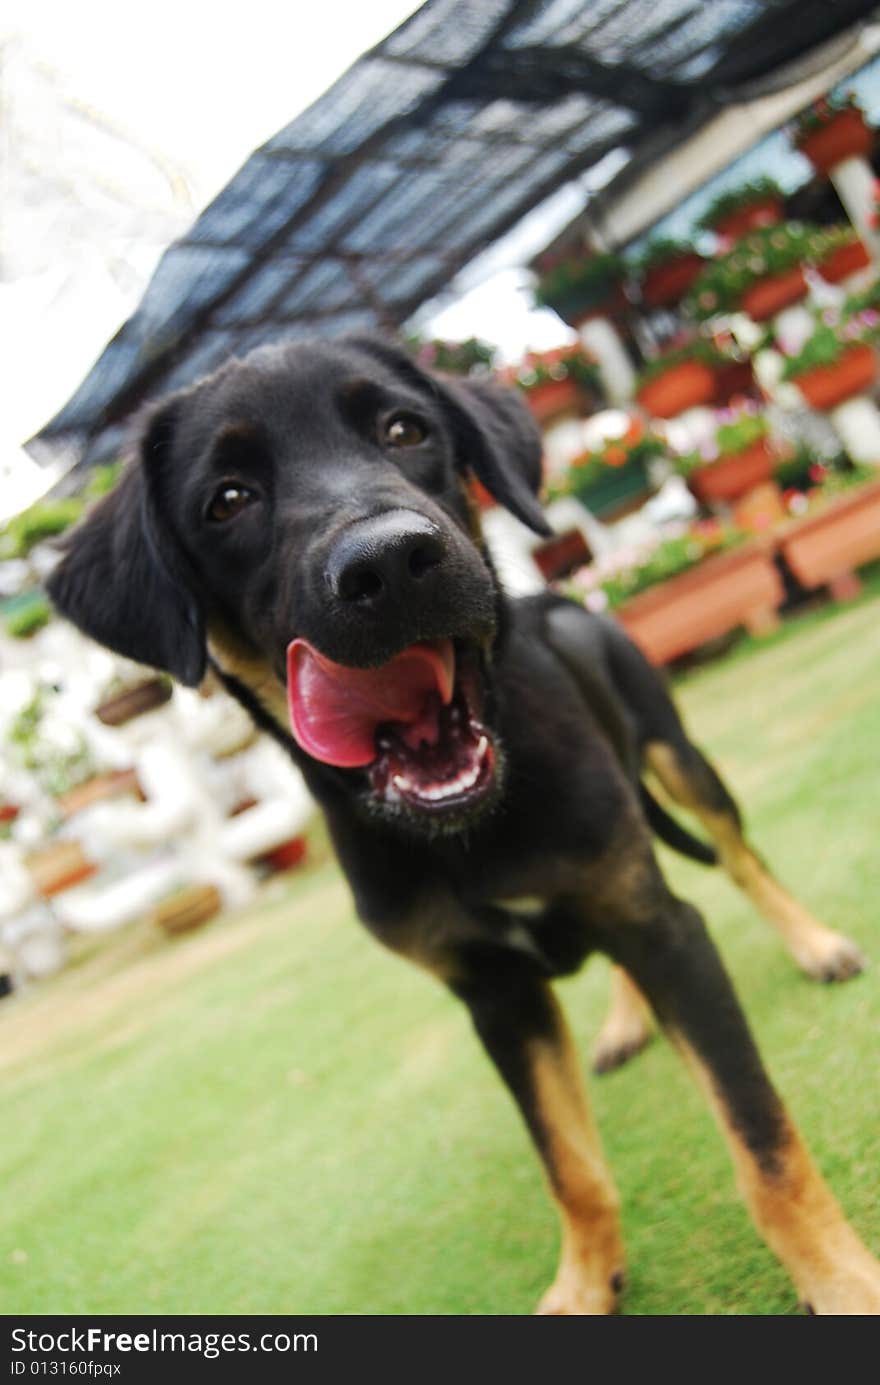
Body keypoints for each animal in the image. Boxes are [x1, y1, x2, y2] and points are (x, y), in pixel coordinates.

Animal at [51, 335, 880, 1307]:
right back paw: (625, 1022)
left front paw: (839, 1277)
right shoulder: (493, 993)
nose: (389, 564)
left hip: (678, 760)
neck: (476, 824)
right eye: (227, 499)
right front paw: (586, 1281)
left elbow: (760, 1137)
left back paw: (814, 943)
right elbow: (570, 1166)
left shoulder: (663, 928)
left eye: (405, 429)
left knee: (743, 857)